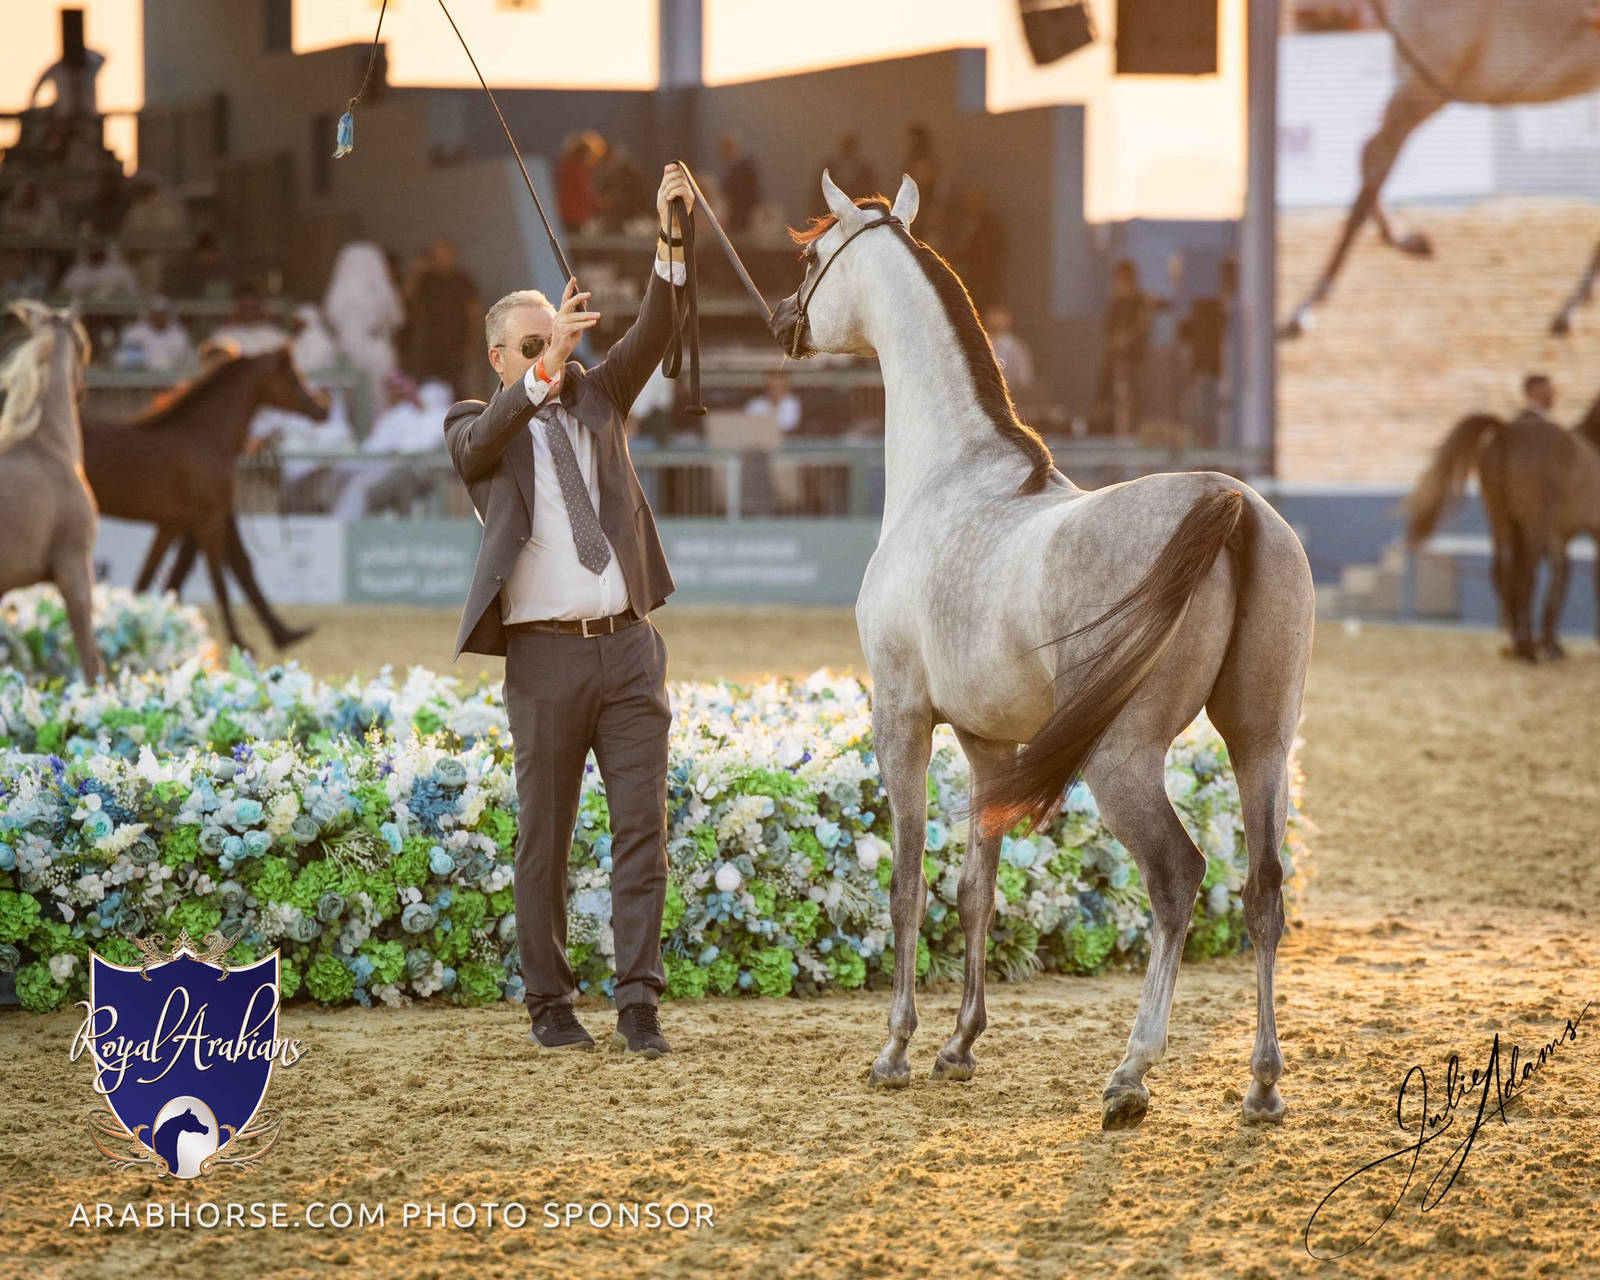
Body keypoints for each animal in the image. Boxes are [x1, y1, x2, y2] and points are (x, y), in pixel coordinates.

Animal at [81, 347, 329, 654]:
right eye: (294, 377)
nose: (323, 409)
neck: (204, 437)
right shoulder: (209, 520)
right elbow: (219, 580)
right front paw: (240, 641)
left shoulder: (175, 524)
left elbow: (152, 576)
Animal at [770, 172, 1316, 1130]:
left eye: (812, 258)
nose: (781, 322)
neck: (952, 477)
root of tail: (1233, 505)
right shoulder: (989, 745)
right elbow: (975, 890)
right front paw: (959, 1046)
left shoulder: (900, 717)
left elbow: (908, 885)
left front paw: (897, 1050)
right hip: (1260, 744)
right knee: (1262, 890)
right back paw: (1261, 1084)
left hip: (1123, 757)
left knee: (1177, 878)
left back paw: (1132, 1074)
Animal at [1282, 0, 1600, 338]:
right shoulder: (1414, 82)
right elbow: (1369, 157)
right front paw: (1406, 241)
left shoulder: (1422, 89)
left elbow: (1373, 163)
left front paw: (1307, 306)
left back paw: (1572, 307)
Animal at [1405, 398, 1600, 659]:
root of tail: (1507, 431)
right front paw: (1552, 645)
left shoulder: (1559, 539)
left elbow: (1561, 579)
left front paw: (1551, 644)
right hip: (1530, 524)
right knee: (1525, 577)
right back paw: (1527, 649)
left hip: (1500, 520)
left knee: (1502, 572)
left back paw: (1518, 644)